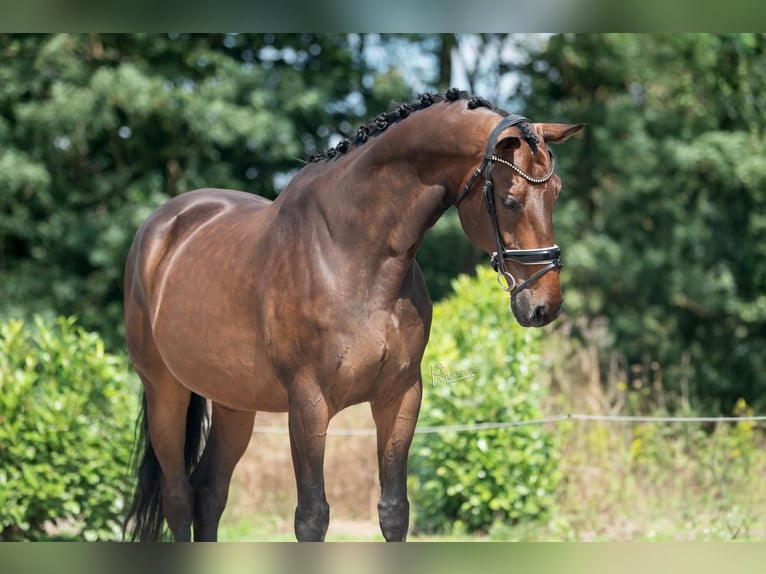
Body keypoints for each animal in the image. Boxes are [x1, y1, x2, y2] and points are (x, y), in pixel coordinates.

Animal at [123, 88, 584, 544]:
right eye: (510, 200)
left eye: (557, 192)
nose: (544, 305)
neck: (353, 253)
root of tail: (160, 227)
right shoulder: (307, 404)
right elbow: (312, 517)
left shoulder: (399, 396)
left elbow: (394, 510)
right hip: (165, 391)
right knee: (179, 496)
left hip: (233, 402)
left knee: (209, 492)